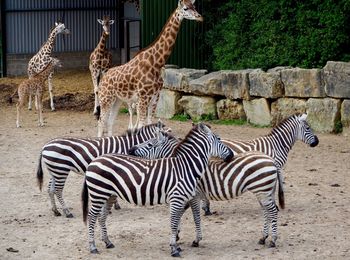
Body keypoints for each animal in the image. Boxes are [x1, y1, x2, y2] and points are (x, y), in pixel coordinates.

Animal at [36, 121, 166, 217]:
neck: (127, 145)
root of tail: (45, 146)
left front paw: (113, 205)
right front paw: (113, 205)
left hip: (55, 171)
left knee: (50, 189)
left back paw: (56, 211)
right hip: (61, 170)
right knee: (58, 190)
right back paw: (67, 212)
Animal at [82, 122, 234, 256]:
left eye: (150, 144)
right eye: (219, 139)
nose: (232, 155)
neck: (186, 167)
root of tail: (94, 161)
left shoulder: (183, 198)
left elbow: (180, 219)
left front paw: (177, 243)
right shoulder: (178, 198)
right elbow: (175, 222)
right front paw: (174, 248)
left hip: (109, 195)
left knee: (102, 216)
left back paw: (108, 242)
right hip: (98, 193)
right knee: (91, 217)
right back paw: (92, 247)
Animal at [95, 0, 202, 137]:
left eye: (194, 6)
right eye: (185, 8)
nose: (200, 17)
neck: (156, 63)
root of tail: (103, 78)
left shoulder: (155, 97)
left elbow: (150, 123)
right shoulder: (143, 98)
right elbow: (142, 125)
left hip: (117, 100)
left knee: (109, 122)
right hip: (106, 99)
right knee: (101, 122)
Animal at [129, 131, 284, 247]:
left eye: (149, 144)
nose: (130, 150)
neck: (183, 165)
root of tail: (271, 160)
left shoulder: (193, 195)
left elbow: (192, 216)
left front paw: (194, 239)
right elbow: (180, 213)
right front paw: (177, 234)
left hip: (262, 190)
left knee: (272, 211)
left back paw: (273, 240)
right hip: (264, 191)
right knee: (267, 211)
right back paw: (263, 238)